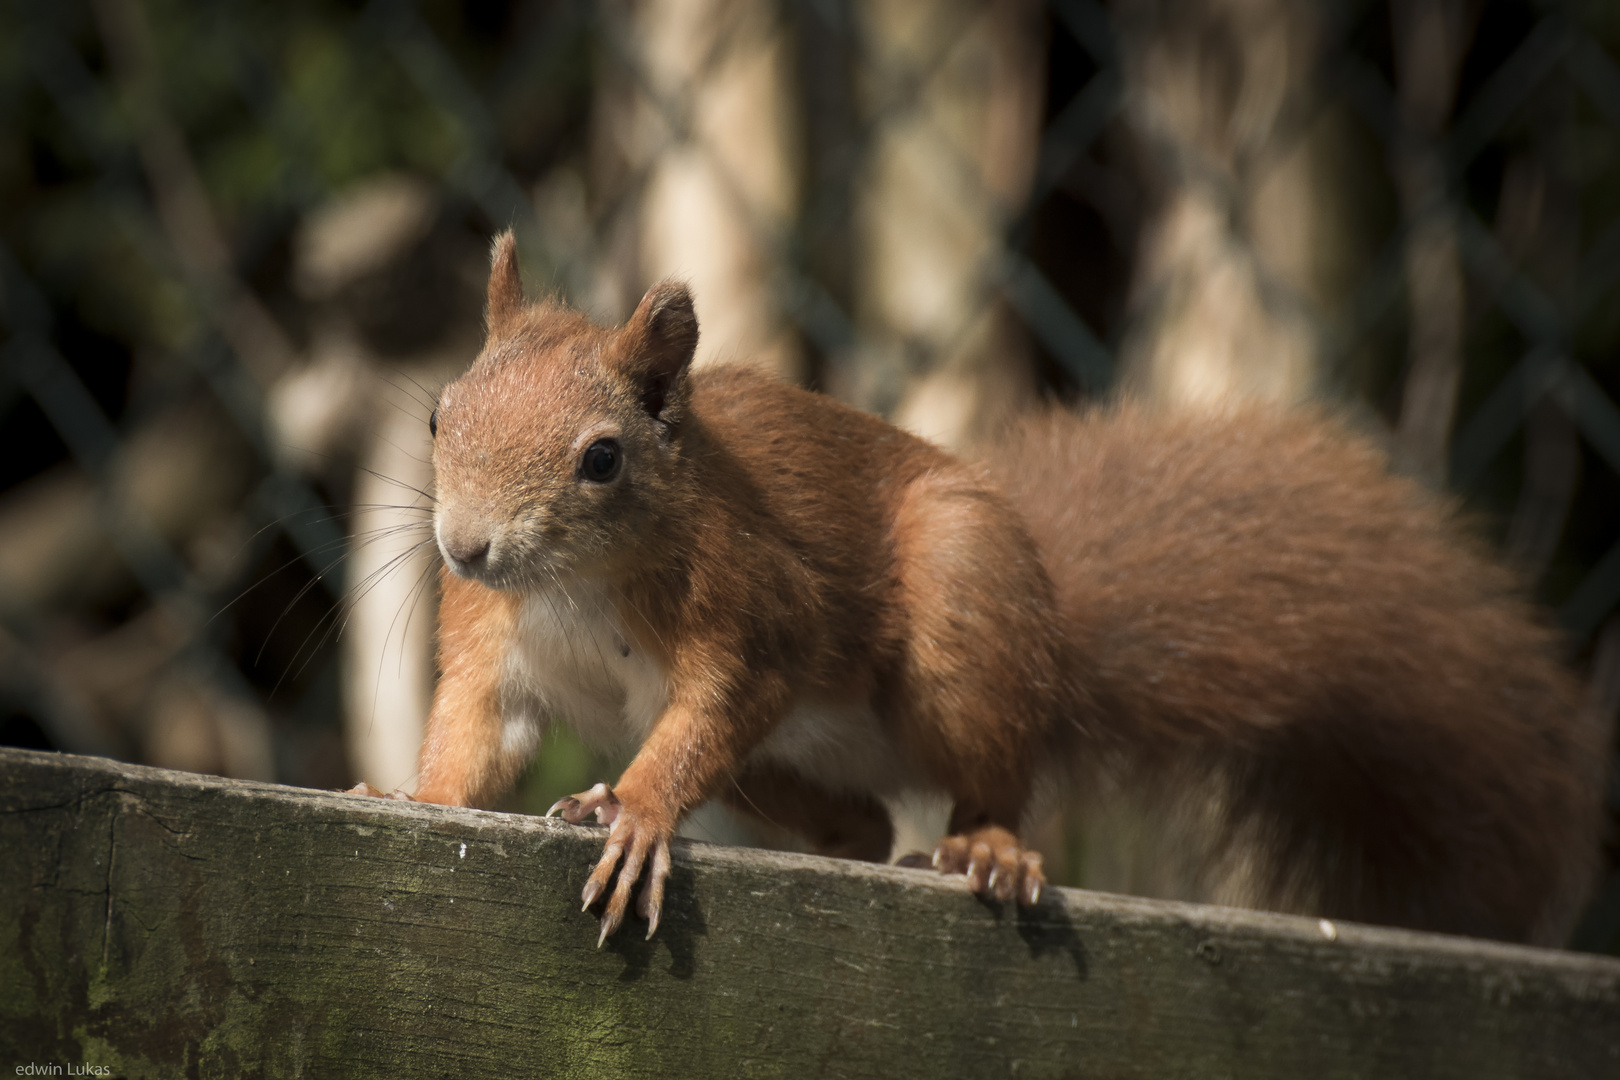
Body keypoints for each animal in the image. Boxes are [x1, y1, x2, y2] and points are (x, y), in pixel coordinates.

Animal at [348, 234, 1600, 945]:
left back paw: (987, 849)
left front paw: (638, 812)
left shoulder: (750, 614)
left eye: (602, 459)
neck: (573, 586)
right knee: (856, 821)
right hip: (788, 771)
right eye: (439, 417)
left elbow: (707, 713)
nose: (466, 549)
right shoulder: (493, 649)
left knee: (996, 774)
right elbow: (474, 739)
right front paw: (412, 796)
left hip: (964, 617)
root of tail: (1055, 648)